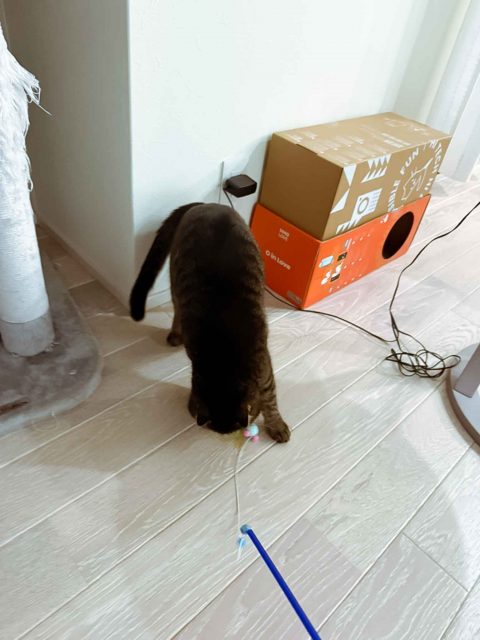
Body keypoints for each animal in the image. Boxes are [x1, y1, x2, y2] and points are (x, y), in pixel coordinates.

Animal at [130, 202, 290, 443]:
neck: (223, 357)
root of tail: (206, 204)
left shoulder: (264, 366)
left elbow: (270, 399)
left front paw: (276, 424)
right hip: (176, 278)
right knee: (177, 309)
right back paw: (175, 334)